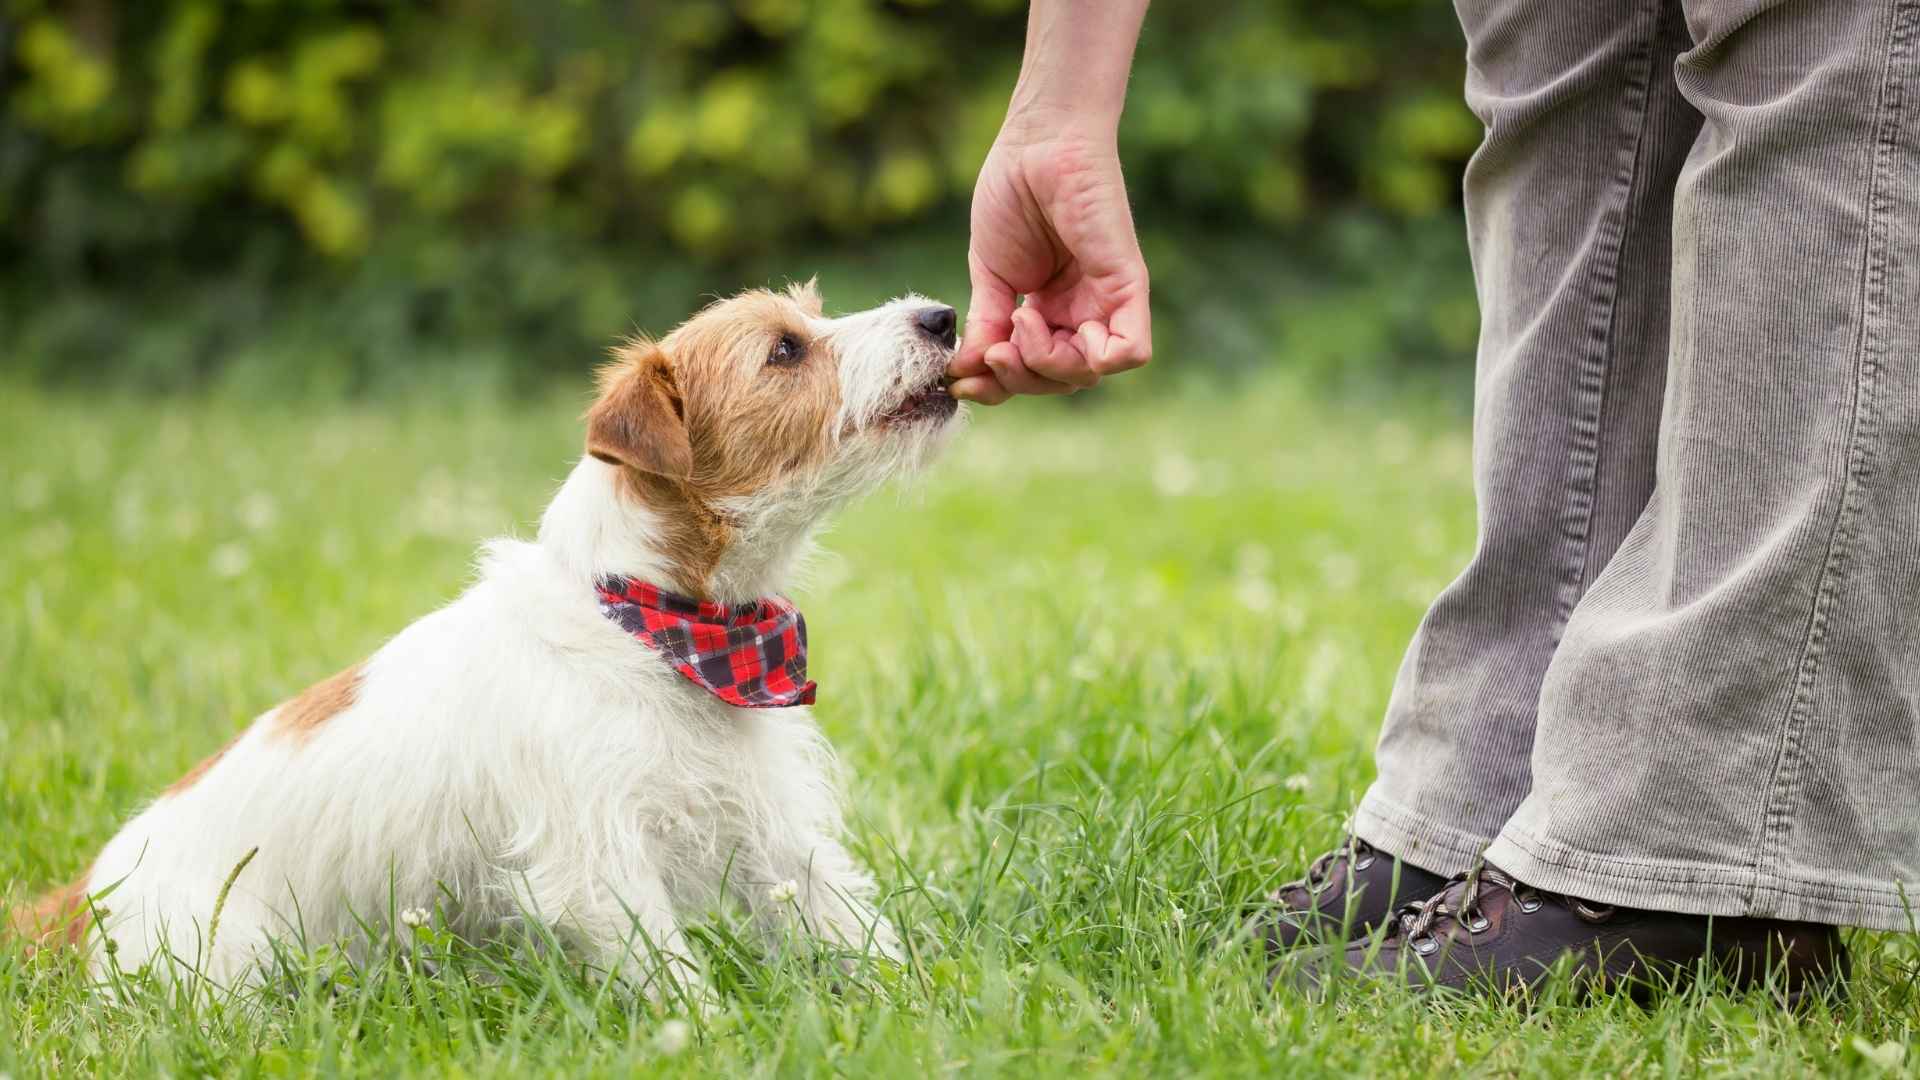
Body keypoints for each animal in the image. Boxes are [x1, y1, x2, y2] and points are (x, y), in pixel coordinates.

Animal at [13, 278, 967, 991]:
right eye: (785, 351)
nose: (942, 315)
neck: (661, 624)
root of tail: (83, 894)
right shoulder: (598, 859)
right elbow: (674, 976)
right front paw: (712, 1041)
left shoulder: (771, 826)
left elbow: (851, 921)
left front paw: (927, 1003)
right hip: (226, 963)